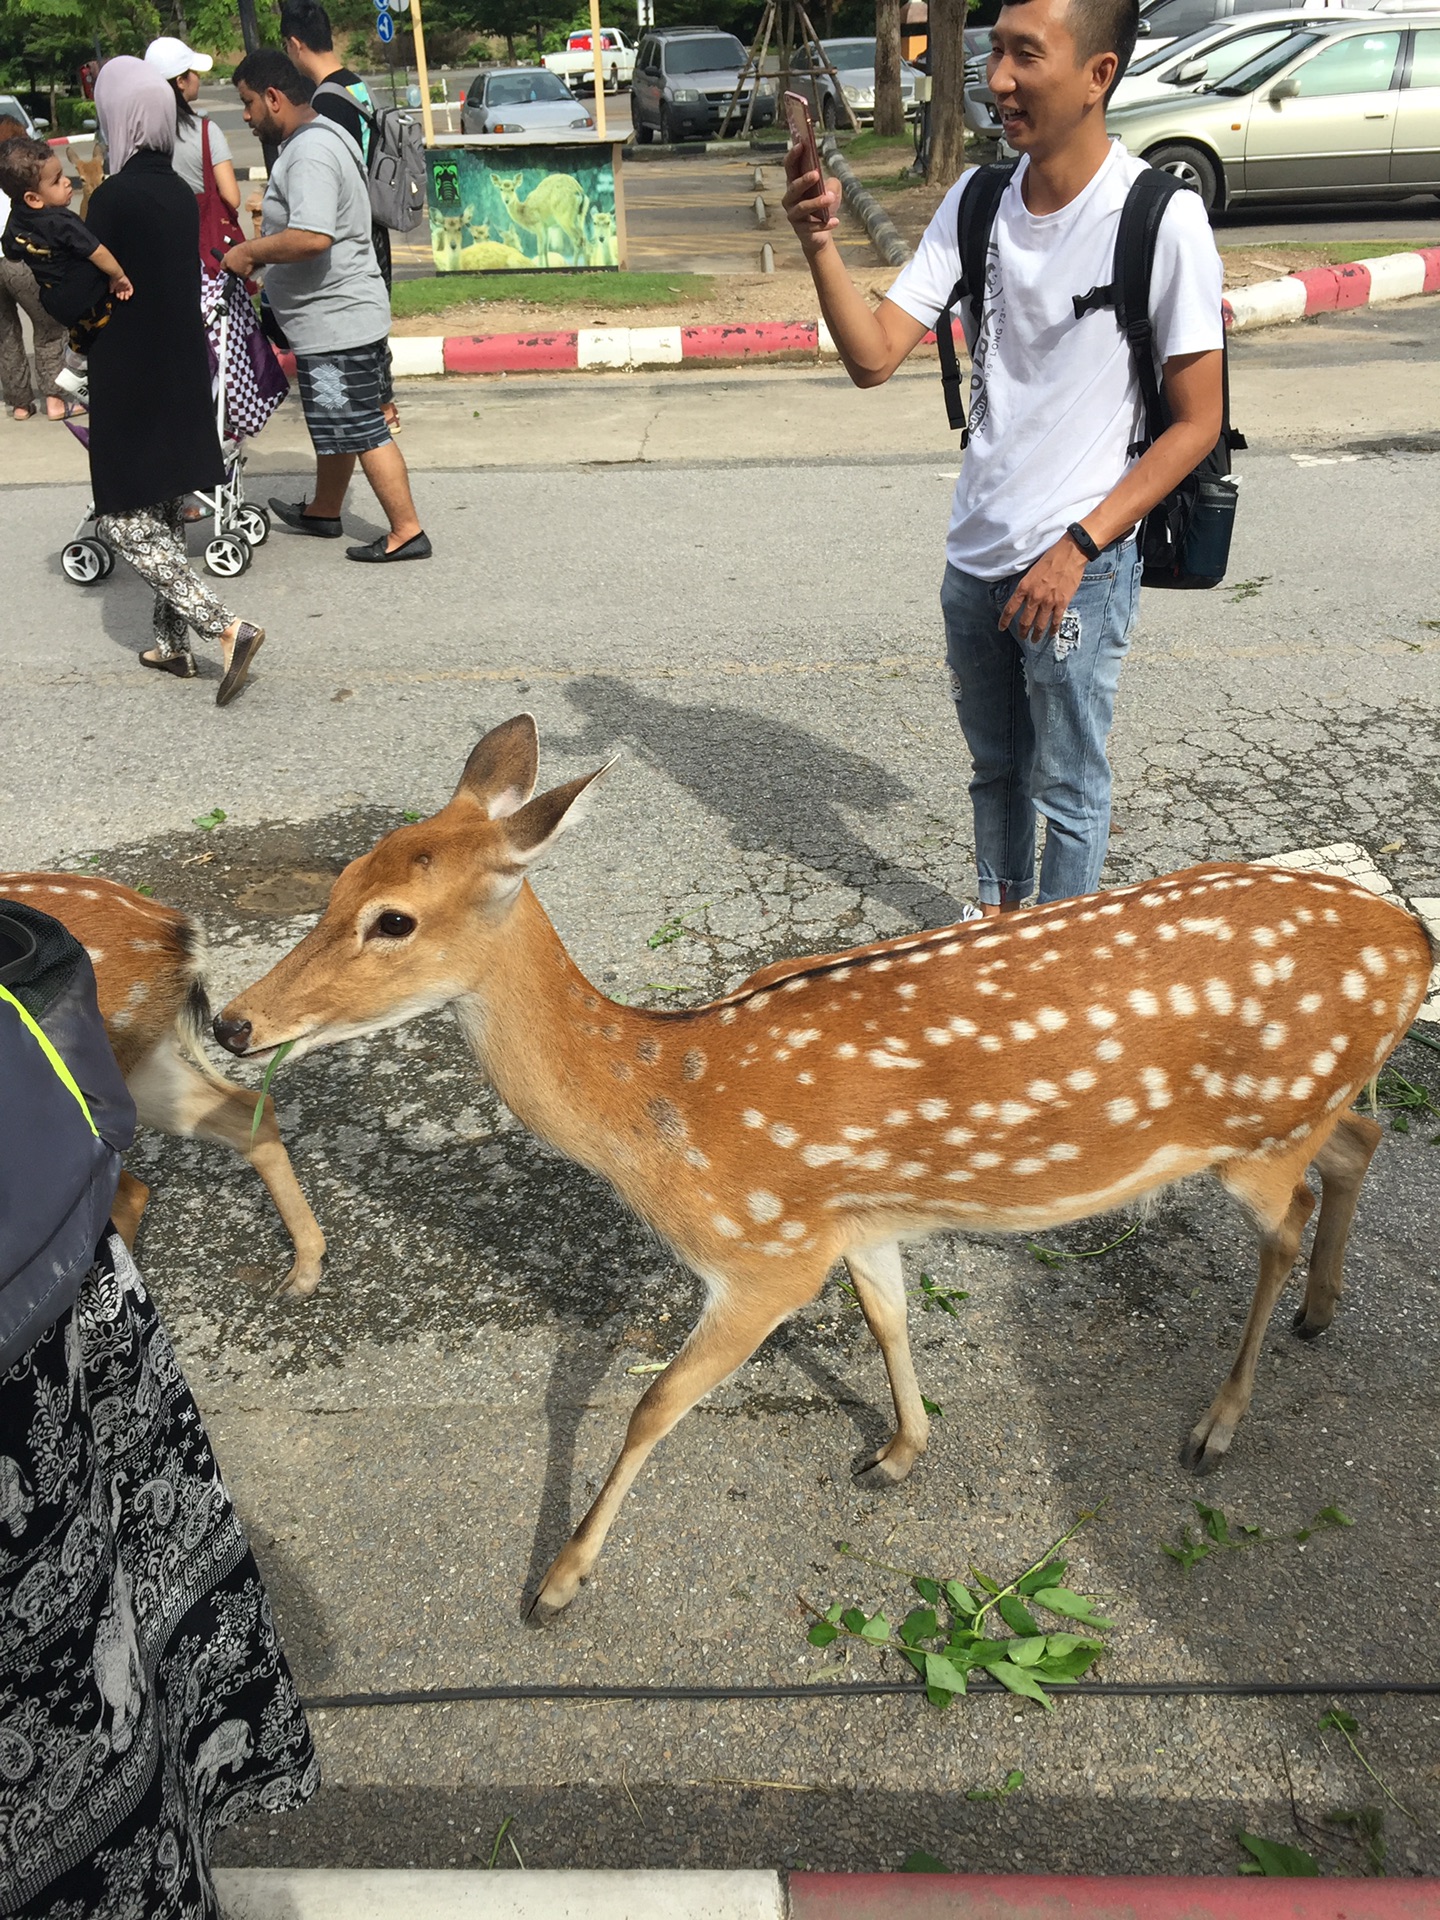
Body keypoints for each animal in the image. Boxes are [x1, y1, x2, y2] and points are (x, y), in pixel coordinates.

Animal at [211, 721, 1436, 1620]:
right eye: (335, 882)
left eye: (394, 920)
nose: (231, 1021)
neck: (664, 1110)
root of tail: (1413, 940)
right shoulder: (855, 1220)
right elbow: (889, 1320)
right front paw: (898, 1452)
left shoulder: (764, 1253)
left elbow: (652, 1404)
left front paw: (558, 1581)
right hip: (1309, 1106)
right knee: (1362, 1145)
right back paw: (1322, 1313)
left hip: (1259, 1133)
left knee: (1288, 1218)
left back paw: (1218, 1425)